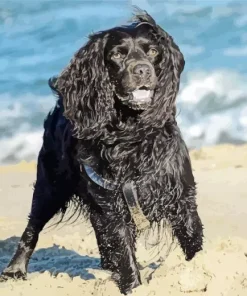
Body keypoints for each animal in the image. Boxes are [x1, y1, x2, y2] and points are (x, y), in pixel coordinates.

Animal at [0, 9, 204, 296]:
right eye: (117, 55)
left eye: (153, 51)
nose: (142, 70)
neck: (131, 135)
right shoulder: (112, 206)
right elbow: (124, 253)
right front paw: (132, 284)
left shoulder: (181, 195)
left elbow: (192, 239)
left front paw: (197, 270)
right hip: (50, 185)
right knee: (32, 227)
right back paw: (15, 269)